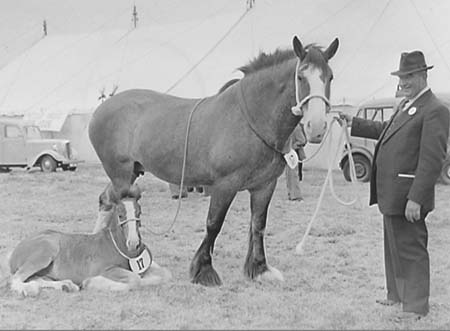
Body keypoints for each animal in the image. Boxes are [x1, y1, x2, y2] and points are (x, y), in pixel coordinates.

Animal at [6, 185, 171, 296]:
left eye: (139, 212)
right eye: (120, 214)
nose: (133, 243)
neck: (119, 246)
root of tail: (15, 252)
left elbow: (163, 275)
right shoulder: (107, 269)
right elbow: (135, 280)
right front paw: (91, 283)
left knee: (35, 278)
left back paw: (67, 286)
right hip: (46, 251)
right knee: (16, 279)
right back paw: (30, 290)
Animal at [89, 35, 340, 286]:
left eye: (330, 77)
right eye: (301, 76)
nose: (316, 127)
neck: (249, 119)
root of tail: (101, 109)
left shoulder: (264, 186)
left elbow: (258, 225)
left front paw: (259, 268)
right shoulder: (224, 185)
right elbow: (214, 224)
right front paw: (204, 270)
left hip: (129, 173)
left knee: (106, 200)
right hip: (121, 175)